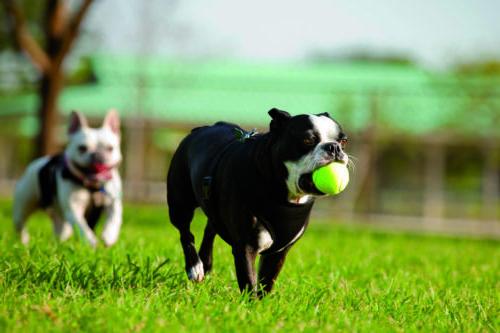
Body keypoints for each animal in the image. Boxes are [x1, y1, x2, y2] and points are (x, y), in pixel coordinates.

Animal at [12, 110, 123, 248]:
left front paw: (109, 235)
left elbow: (114, 218)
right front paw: (91, 242)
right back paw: (25, 242)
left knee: (62, 231)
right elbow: (82, 227)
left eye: (110, 148)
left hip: (61, 220)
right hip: (22, 207)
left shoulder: (113, 202)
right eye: (82, 148)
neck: (92, 185)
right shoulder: (73, 210)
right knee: (21, 226)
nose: (97, 154)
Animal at [168, 107, 348, 294]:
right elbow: (249, 283)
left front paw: (263, 301)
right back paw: (195, 267)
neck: (286, 195)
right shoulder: (245, 248)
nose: (334, 147)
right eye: (308, 140)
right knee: (185, 233)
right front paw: (248, 302)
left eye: (344, 142)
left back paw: (206, 263)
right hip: (179, 203)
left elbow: (266, 284)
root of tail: (200, 129)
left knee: (210, 227)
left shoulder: (278, 253)